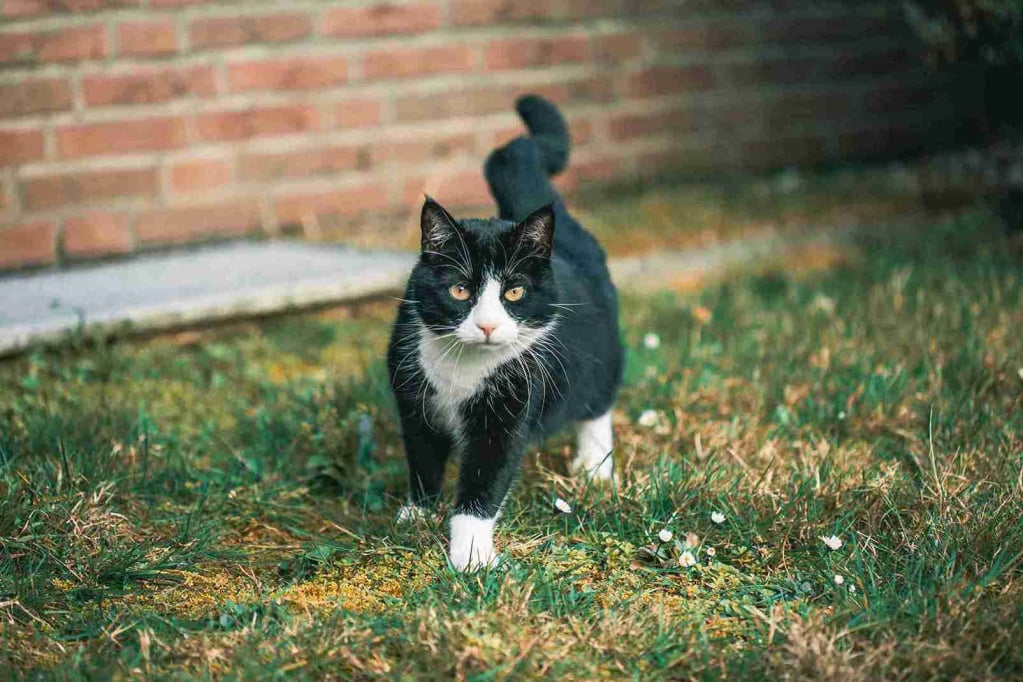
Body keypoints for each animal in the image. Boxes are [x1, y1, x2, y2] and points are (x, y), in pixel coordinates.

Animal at [384, 94, 617, 572]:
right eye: (459, 289)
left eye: (513, 291)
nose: (488, 324)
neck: (464, 367)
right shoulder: (412, 395)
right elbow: (422, 456)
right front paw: (417, 513)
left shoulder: (512, 405)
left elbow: (485, 477)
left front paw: (470, 556)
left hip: (603, 347)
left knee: (600, 397)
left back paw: (594, 464)